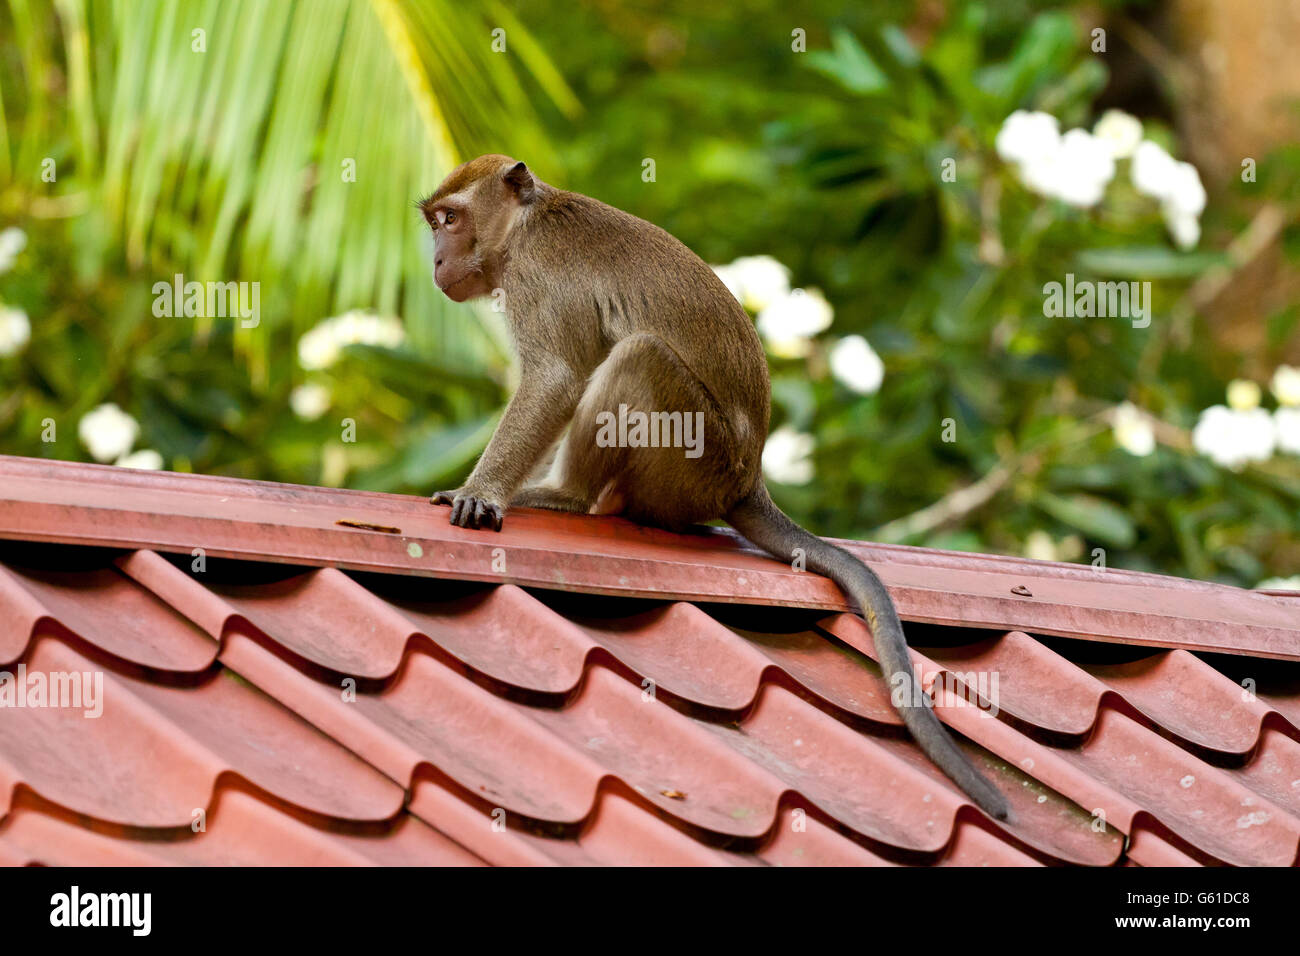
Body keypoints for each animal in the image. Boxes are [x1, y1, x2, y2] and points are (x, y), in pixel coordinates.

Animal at [421, 153, 1008, 816]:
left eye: (450, 220)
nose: (436, 260)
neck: (525, 224)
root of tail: (747, 480)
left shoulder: (536, 278)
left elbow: (556, 377)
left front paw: (481, 492)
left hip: (695, 460)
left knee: (641, 355)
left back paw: (567, 496)